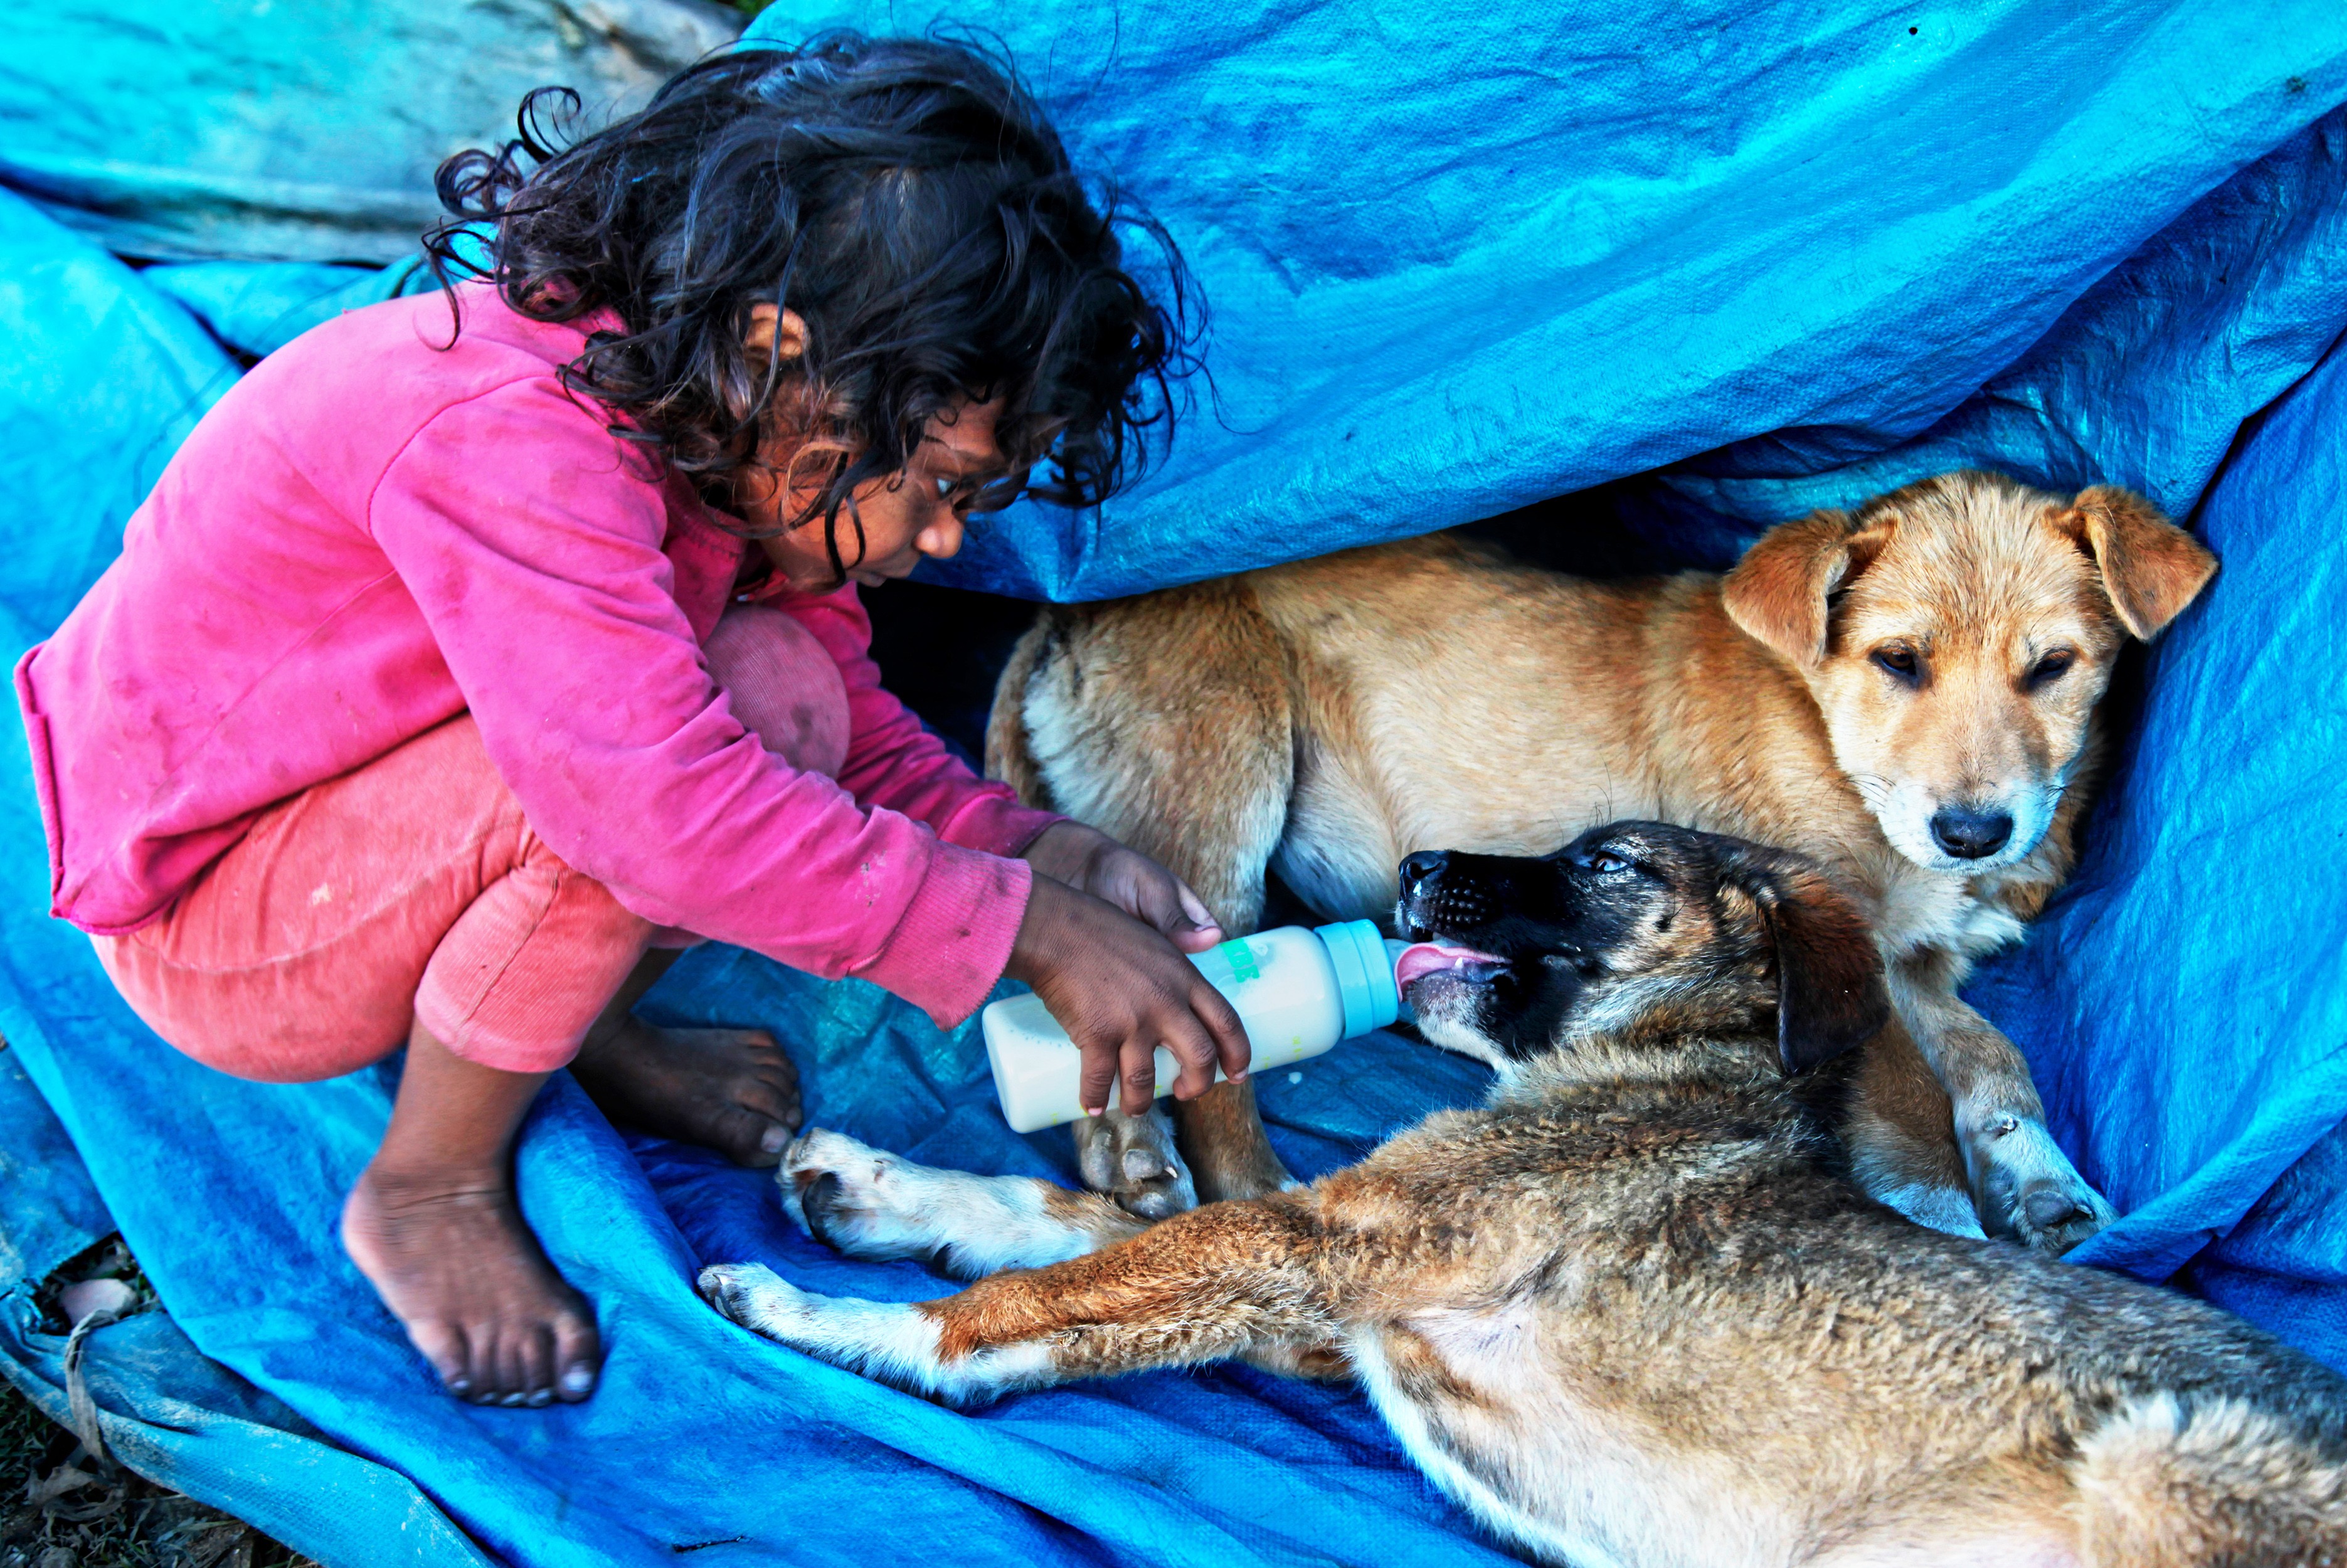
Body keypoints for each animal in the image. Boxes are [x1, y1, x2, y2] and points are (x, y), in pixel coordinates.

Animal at [699, 826, 2347, 1559]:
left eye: (1609, 863)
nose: (1413, 863)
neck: (1655, 1065)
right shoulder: (1341, 1298)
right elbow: (1082, 1224)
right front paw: (865, 1186)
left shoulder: (1319, 1238)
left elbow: (1021, 1301)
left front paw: (829, 1315)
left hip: (2154, 1463)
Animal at [985, 465, 2215, 1249]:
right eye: (1897, 661)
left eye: (2051, 668)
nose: (1974, 832)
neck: (1831, 744)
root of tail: (1059, 617)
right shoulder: (1845, 956)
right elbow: (1915, 1106)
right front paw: (1951, 1220)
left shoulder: (1918, 967)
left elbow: (1995, 1060)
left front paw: (2044, 1183)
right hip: (1219, 801)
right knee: (1198, 1038)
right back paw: (1236, 1181)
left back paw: (1125, 1156)